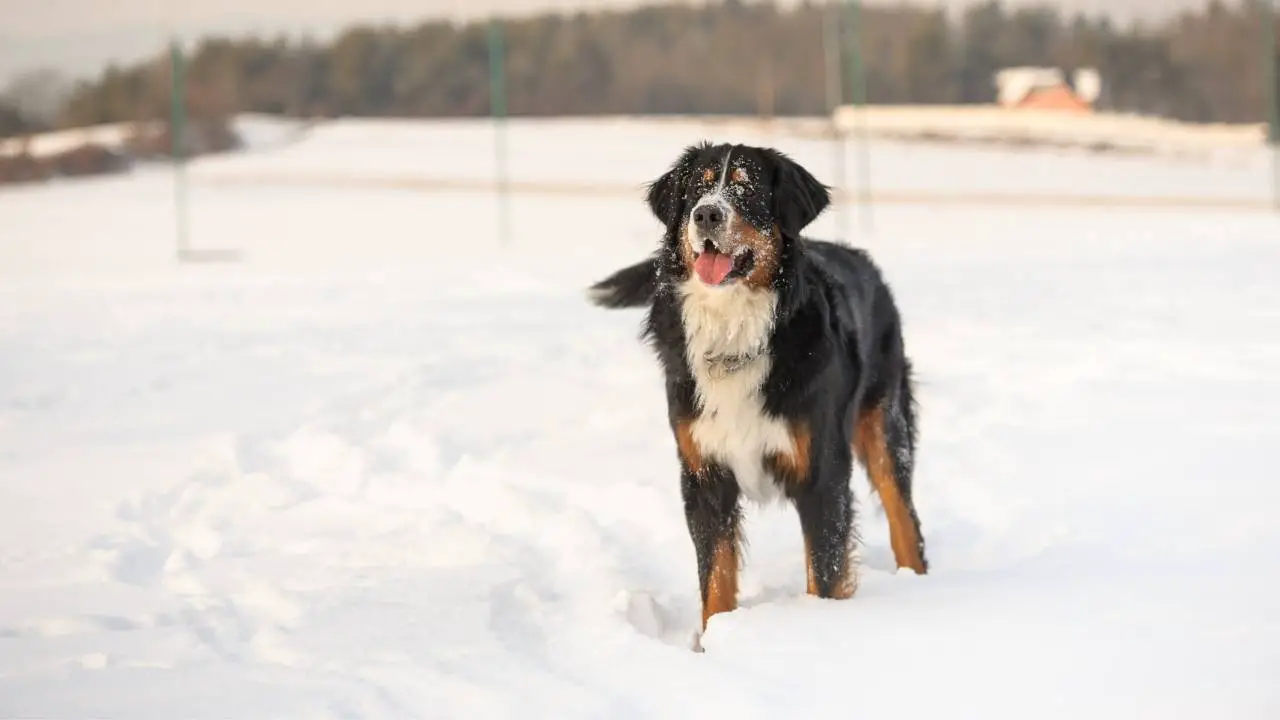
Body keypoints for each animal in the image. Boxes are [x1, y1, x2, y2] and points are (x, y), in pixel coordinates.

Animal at [588, 140, 931, 632]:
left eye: (746, 188)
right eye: (697, 188)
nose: (707, 215)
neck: (735, 332)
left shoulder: (822, 475)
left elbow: (825, 575)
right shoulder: (704, 475)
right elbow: (715, 580)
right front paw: (714, 641)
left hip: (885, 424)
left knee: (905, 519)